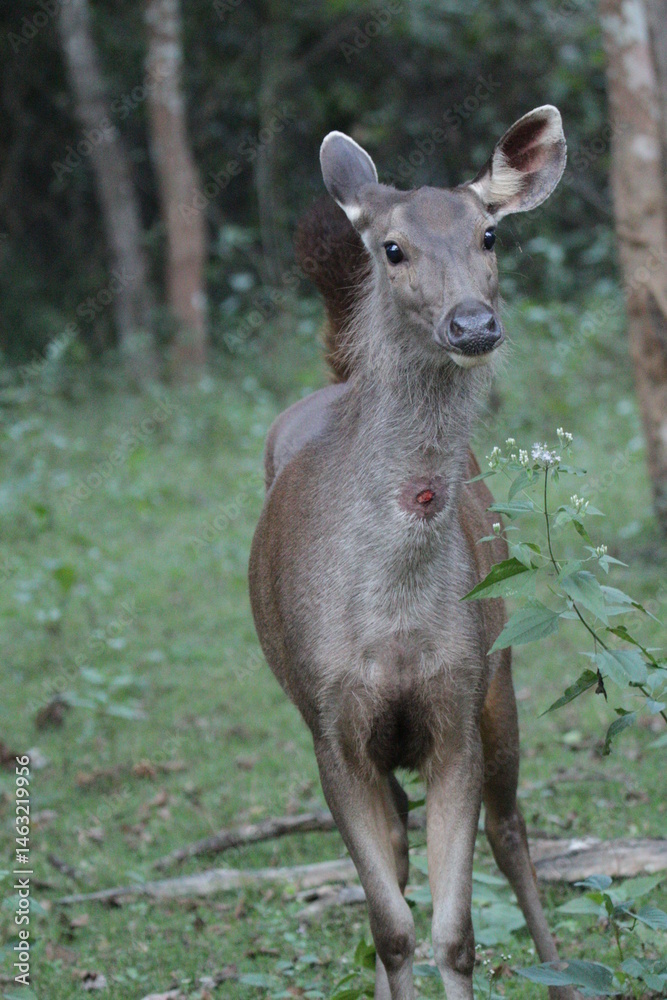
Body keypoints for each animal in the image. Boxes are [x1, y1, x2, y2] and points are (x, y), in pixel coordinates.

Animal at [249, 106, 577, 1000]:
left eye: (489, 234)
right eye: (392, 248)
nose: (471, 324)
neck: (390, 624)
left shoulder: (456, 702)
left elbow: (453, 932)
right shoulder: (328, 722)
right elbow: (391, 927)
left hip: (502, 677)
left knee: (511, 827)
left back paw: (561, 973)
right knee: (397, 854)